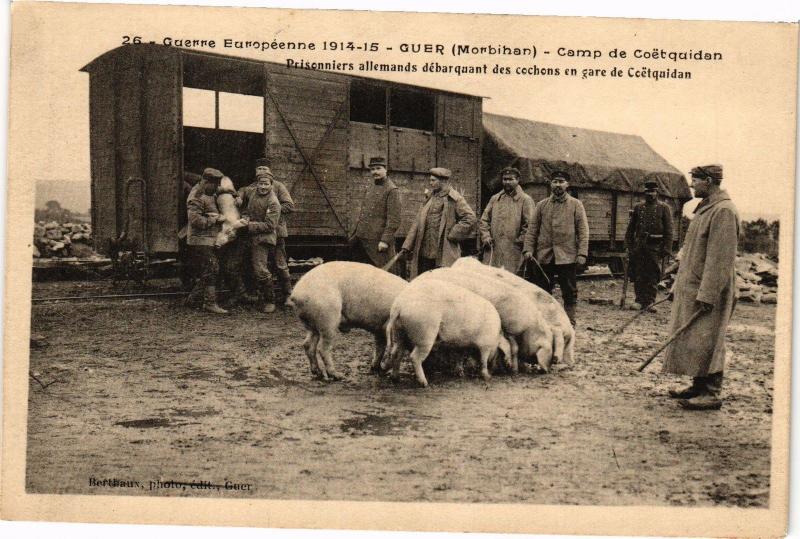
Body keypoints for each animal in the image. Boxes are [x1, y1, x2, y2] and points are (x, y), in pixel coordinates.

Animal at [382, 278, 510, 388]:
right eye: (501, 353)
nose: (506, 367)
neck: (496, 336)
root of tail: (398, 306)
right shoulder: (485, 345)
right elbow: (483, 360)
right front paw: (487, 376)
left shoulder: (461, 344)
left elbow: (459, 356)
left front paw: (460, 373)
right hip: (425, 333)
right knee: (414, 357)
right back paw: (424, 384)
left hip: (399, 331)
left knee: (396, 352)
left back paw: (395, 379)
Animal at [416, 268, 552, 374]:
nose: (547, 369)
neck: (529, 328)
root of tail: (415, 280)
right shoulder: (510, 329)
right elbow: (514, 348)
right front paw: (513, 370)